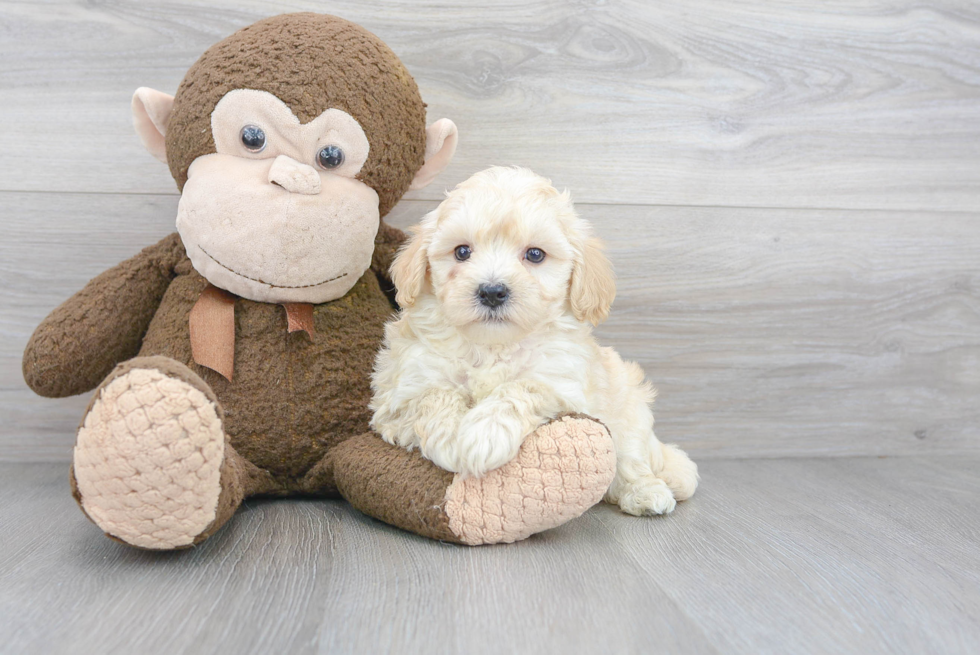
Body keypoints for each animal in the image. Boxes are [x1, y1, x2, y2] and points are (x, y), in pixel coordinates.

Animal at [370, 167, 696, 516]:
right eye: (462, 251)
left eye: (535, 254)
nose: (492, 291)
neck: (492, 346)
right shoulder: (398, 396)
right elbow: (433, 395)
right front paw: (452, 438)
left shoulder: (562, 381)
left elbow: (522, 387)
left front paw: (484, 435)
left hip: (628, 412)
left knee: (630, 460)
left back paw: (647, 493)